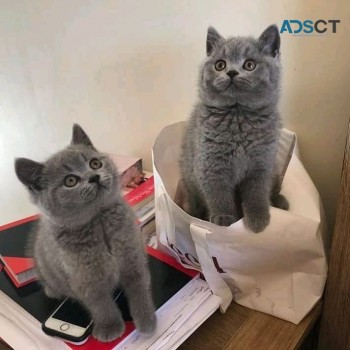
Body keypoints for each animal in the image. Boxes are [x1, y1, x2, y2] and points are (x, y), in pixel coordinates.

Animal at [14, 125, 156, 342]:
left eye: (95, 163)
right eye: (70, 180)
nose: (94, 176)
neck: (99, 222)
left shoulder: (133, 258)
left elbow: (139, 291)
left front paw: (147, 321)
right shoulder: (87, 281)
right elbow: (101, 306)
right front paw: (110, 328)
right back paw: (52, 290)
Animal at [179, 24, 288, 232]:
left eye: (250, 65)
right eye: (220, 65)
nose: (231, 72)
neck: (238, 115)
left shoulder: (261, 164)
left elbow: (257, 192)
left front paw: (258, 218)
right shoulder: (210, 164)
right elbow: (218, 194)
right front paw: (224, 218)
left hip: (275, 167)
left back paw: (281, 202)